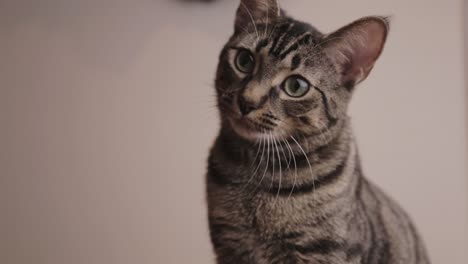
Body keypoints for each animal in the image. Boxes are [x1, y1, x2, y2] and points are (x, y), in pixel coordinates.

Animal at [206, 1, 432, 262]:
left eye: (296, 86)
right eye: (244, 60)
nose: (247, 102)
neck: (256, 172)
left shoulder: (322, 251)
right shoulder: (229, 245)